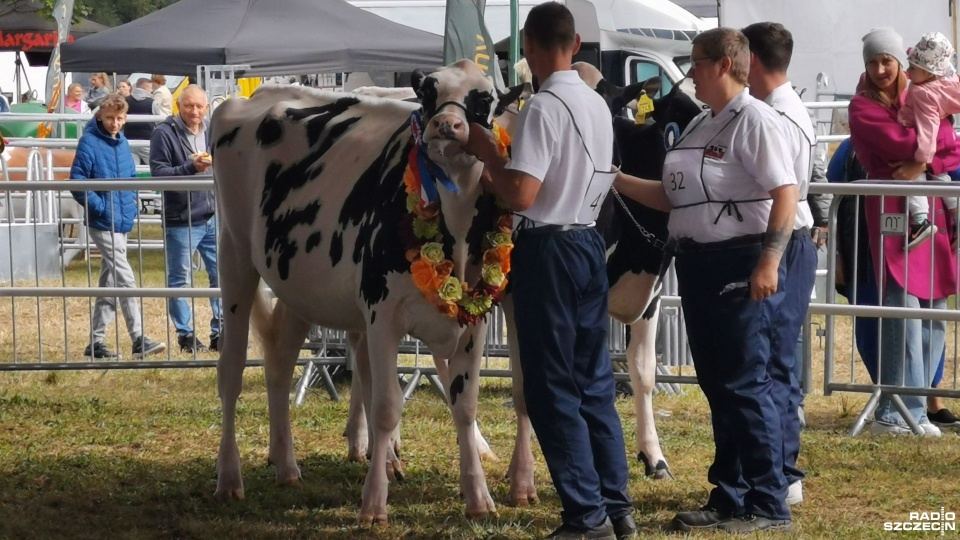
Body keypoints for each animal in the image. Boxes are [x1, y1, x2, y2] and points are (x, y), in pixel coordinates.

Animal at [212, 60, 524, 528]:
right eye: (428, 93)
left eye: (483, 98)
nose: (446, 125)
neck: (454, 228)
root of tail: (252, 97)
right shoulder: (382, 315)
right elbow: (385, 406)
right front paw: (374, 504)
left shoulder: (474, 323)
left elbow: (465, 407)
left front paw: (478, 496)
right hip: (234, 256)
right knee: (230, 370)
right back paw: (230, 478)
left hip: (297, 288)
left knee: (280, 365)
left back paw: (287, 467)